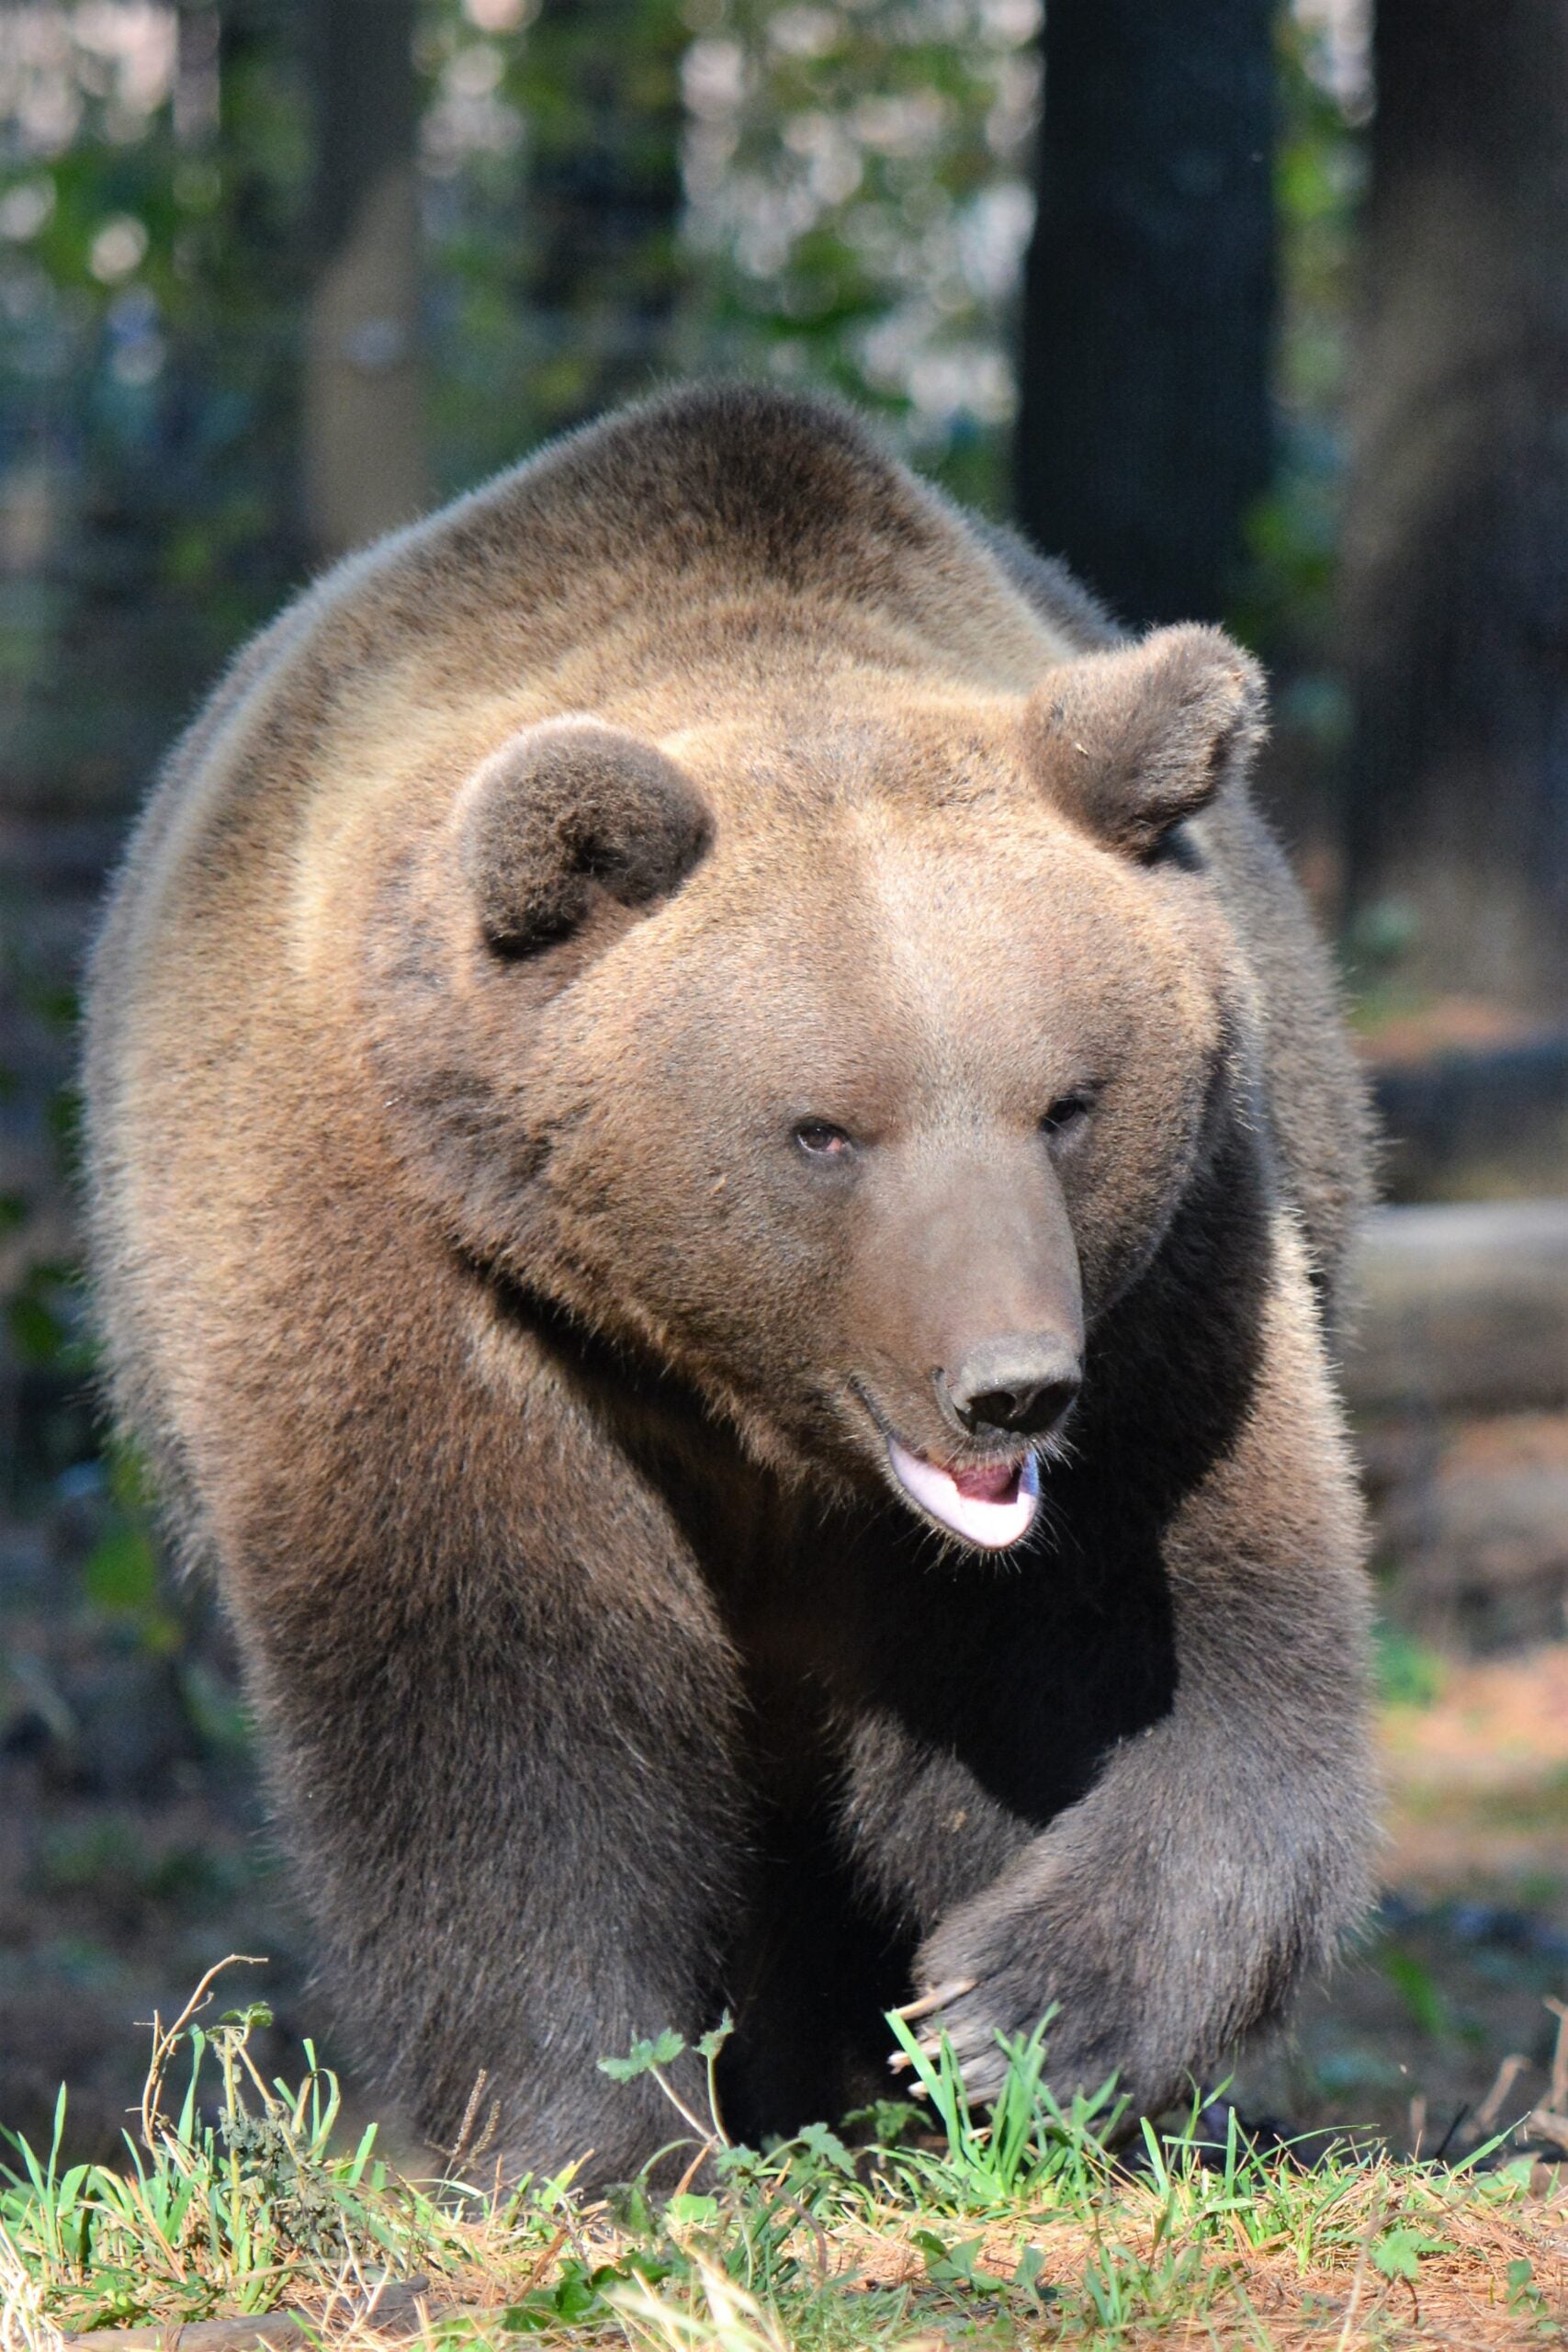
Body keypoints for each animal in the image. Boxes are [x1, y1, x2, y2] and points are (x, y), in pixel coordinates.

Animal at [83, 382, 1375, 2186]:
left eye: (1066, 1100)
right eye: (822, 1127)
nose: (1007, 1386)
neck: (721, 1376)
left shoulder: (1177, 1274)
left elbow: (1166, 1647)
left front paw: (1009, 2015)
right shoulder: (411, 1259)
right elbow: (495, 1687)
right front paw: (602, 2129)